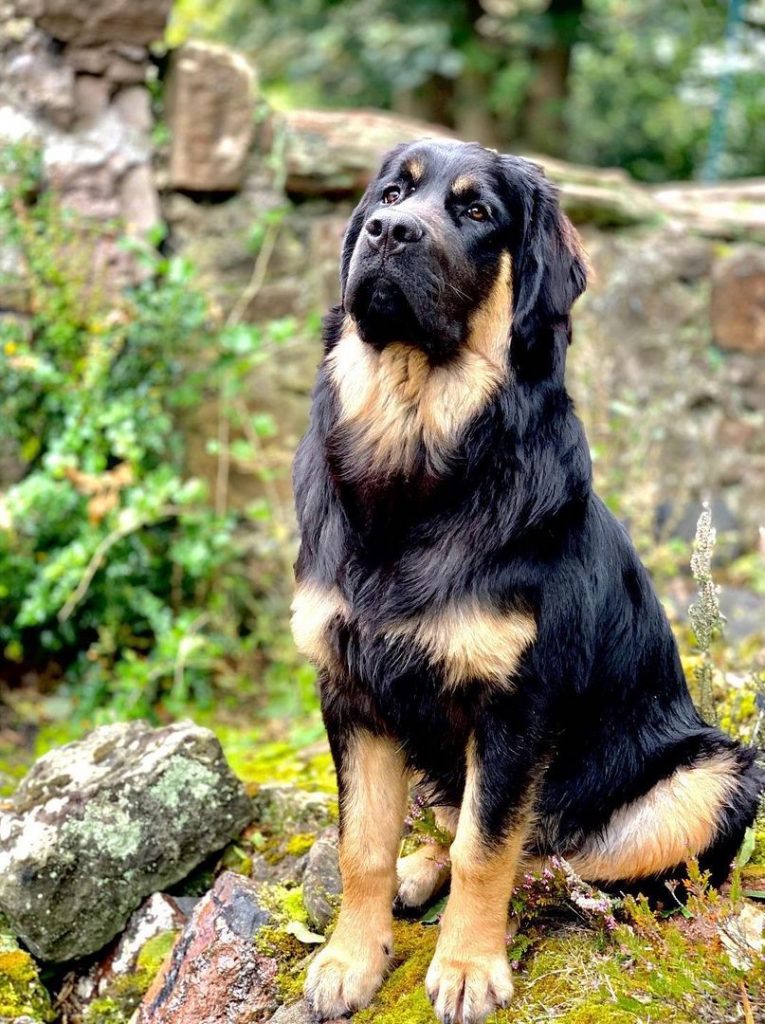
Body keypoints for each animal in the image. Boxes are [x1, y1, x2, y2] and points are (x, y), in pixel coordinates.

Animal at [290, 142, 761, 1024]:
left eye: (477, 212)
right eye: (392, 194)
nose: (386, 232)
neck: (417, 460)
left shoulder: (516, 703)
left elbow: (486, 846)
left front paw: (468, 965)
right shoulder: (351, 688)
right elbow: (361, 844)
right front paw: (350, 958)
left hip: (718, 775)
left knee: (574, 860)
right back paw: (418, 870)